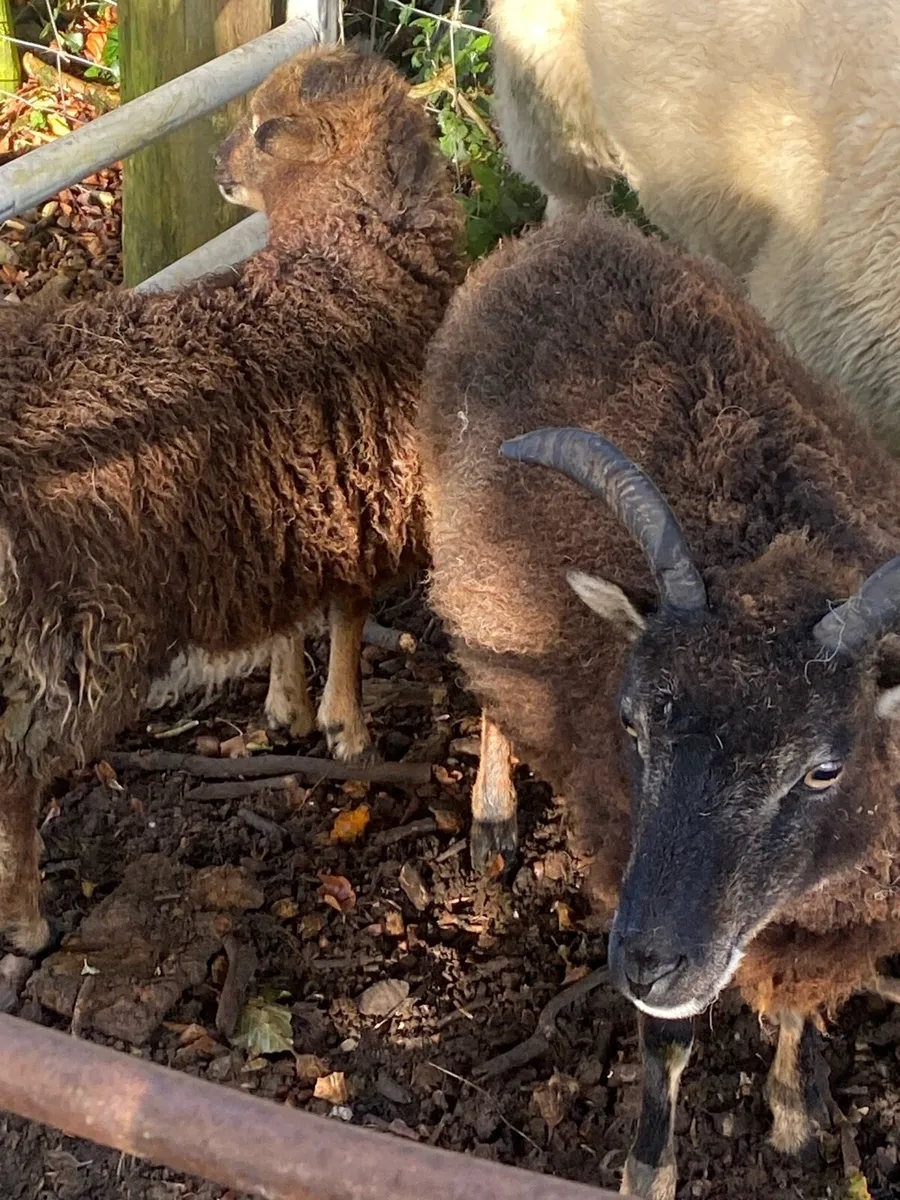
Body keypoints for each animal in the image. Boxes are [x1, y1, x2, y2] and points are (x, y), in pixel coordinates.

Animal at [0, 44, 464, 955]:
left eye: (264, 126)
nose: (216, 165)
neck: (347, 258)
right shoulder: (363, 503)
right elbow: (350, 613)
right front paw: (347, 728)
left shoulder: (297, 510)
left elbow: (299, 615)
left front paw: (290, 710)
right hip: (61, 645)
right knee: (17, 781)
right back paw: (27, 922)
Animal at [418, 206, 900, 1197]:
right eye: (632, 722)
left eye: (823, 768)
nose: (647, 962)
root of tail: (563, 235)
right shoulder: (628, 867)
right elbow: (667, 1047)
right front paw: (651, 1166)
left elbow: (796, 1009)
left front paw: (796, 1103)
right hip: (462, 564)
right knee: (487, 681)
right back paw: (493, 815)